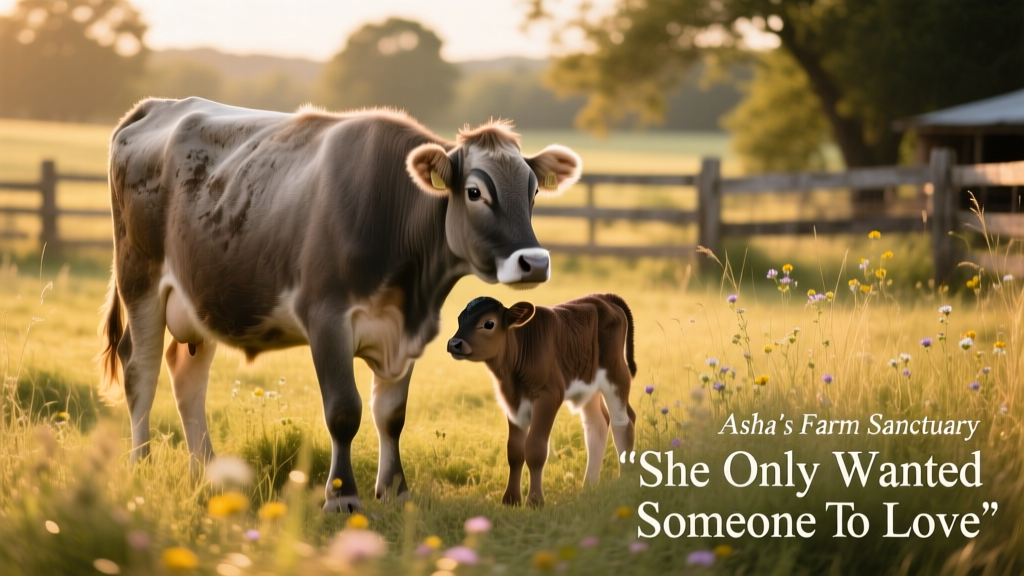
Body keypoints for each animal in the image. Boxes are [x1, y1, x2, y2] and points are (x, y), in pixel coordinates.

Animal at [98, 97, 582, 512]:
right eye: (476, 192)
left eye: (534, 191)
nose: (534, 262)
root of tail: (159, 105)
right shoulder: (326, 318)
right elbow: (344, 411)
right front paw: (342, 495)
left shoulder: (406, 332)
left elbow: (391, 415)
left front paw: (395, 490)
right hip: (139, 277)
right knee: (140, 370)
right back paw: (140, 465)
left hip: (202, 297)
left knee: (187, 376)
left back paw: (205, 473)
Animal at [446, 294, 637, 507]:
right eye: (460, 319)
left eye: (489, 323)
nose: (454, 343)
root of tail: (601, 297)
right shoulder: (512, 401)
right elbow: (514, 450)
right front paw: (511, 500)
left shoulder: (549, 395)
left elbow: (535, 448)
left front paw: (535, 501)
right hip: (588, 381)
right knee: (598, 424)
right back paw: (588, 487)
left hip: (615, 372)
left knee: (623, 421)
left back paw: (624, 480)